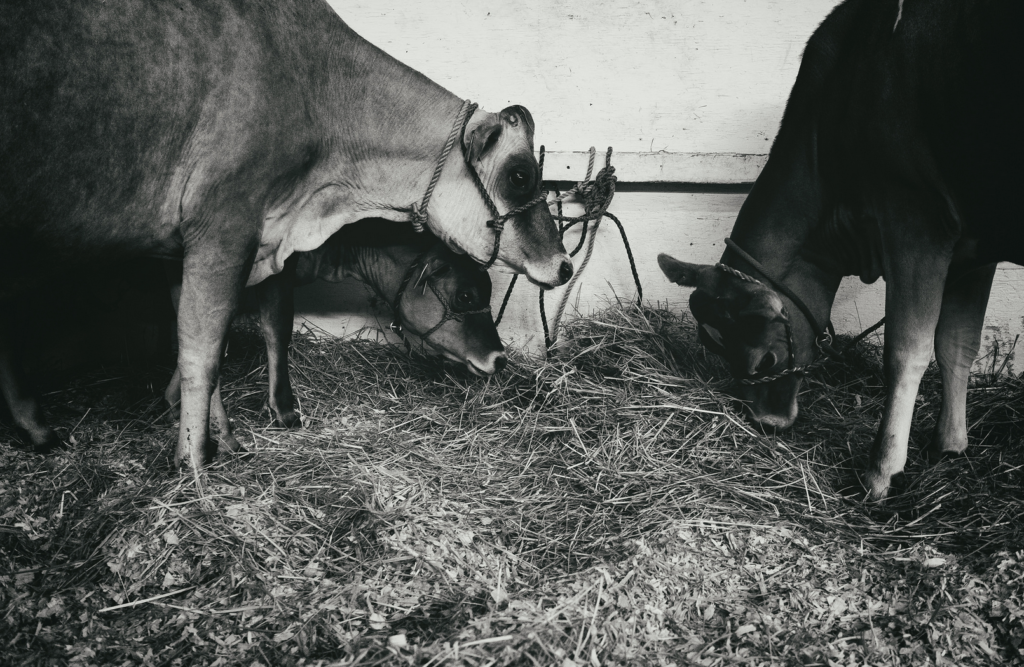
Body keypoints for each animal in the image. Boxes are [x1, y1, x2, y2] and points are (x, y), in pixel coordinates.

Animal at [162, 221, 507, 456]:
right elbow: (274, 327)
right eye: (465, 296)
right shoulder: (276, 269)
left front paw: (176, 401)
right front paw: (283, 411)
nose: (500, 359)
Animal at [659, 0, 1019, 499]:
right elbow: (957, 343)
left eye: (766, 359)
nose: (767, 422)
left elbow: (907, 350)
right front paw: (950, 445)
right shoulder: (974, 249)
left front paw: (882, 471)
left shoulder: (916, 220)